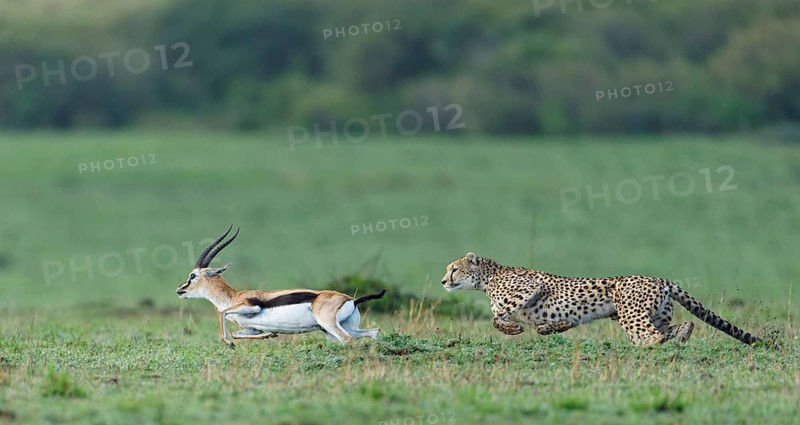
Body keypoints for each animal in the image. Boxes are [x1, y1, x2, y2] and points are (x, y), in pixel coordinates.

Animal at [441, 252, 761, 346]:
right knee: (676, 328)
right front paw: (549, 329)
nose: (443, 281)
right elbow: (545, 326)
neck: (487, 278)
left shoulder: (531, 287)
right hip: (653, 313)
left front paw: (513, 329)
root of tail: (659, 279)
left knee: (650, 336)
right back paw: (681, 337)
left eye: (453, 268)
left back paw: (651, 346)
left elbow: (496, 316)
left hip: (630, 313)